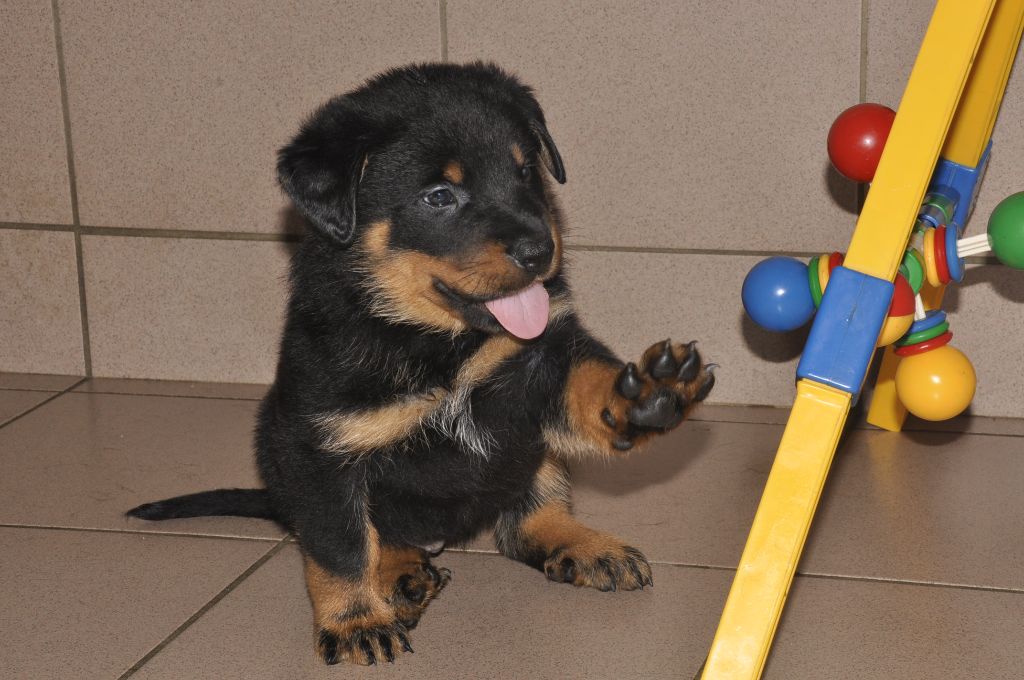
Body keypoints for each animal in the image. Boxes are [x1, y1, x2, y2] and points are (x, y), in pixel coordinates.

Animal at [130, 63, 712, 663]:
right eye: (439, 196)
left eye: (526, 171)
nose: (540, 251)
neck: (438, 341)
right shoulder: (317, 446)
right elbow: (340, 544)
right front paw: (354, 621)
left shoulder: (540, 364)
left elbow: (587, 386)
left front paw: (648, 394)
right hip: (276, 443)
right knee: (382, 534)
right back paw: (401, 575)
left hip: (531, 459)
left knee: (529, 518)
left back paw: (581, 544)